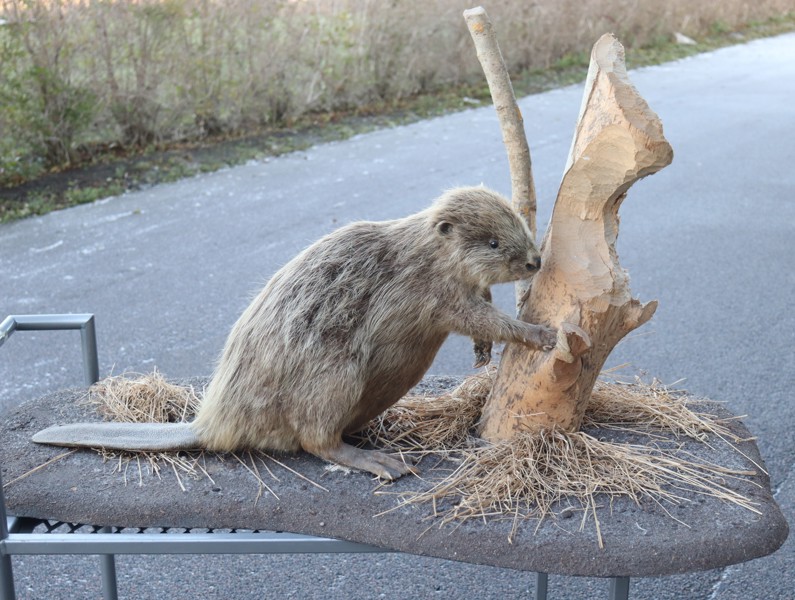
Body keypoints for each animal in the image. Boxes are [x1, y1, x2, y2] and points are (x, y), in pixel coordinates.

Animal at [34, 186, 556, 478]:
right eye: (492, 242)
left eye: (517, 224)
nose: (535, 261)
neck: (424, 248)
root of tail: (205, 427)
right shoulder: (425, 288)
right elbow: (471, 314)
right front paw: (539, 334)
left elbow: (480, 309)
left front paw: (483, 353)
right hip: (334, 375)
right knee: (314, 439)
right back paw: (382, 463)